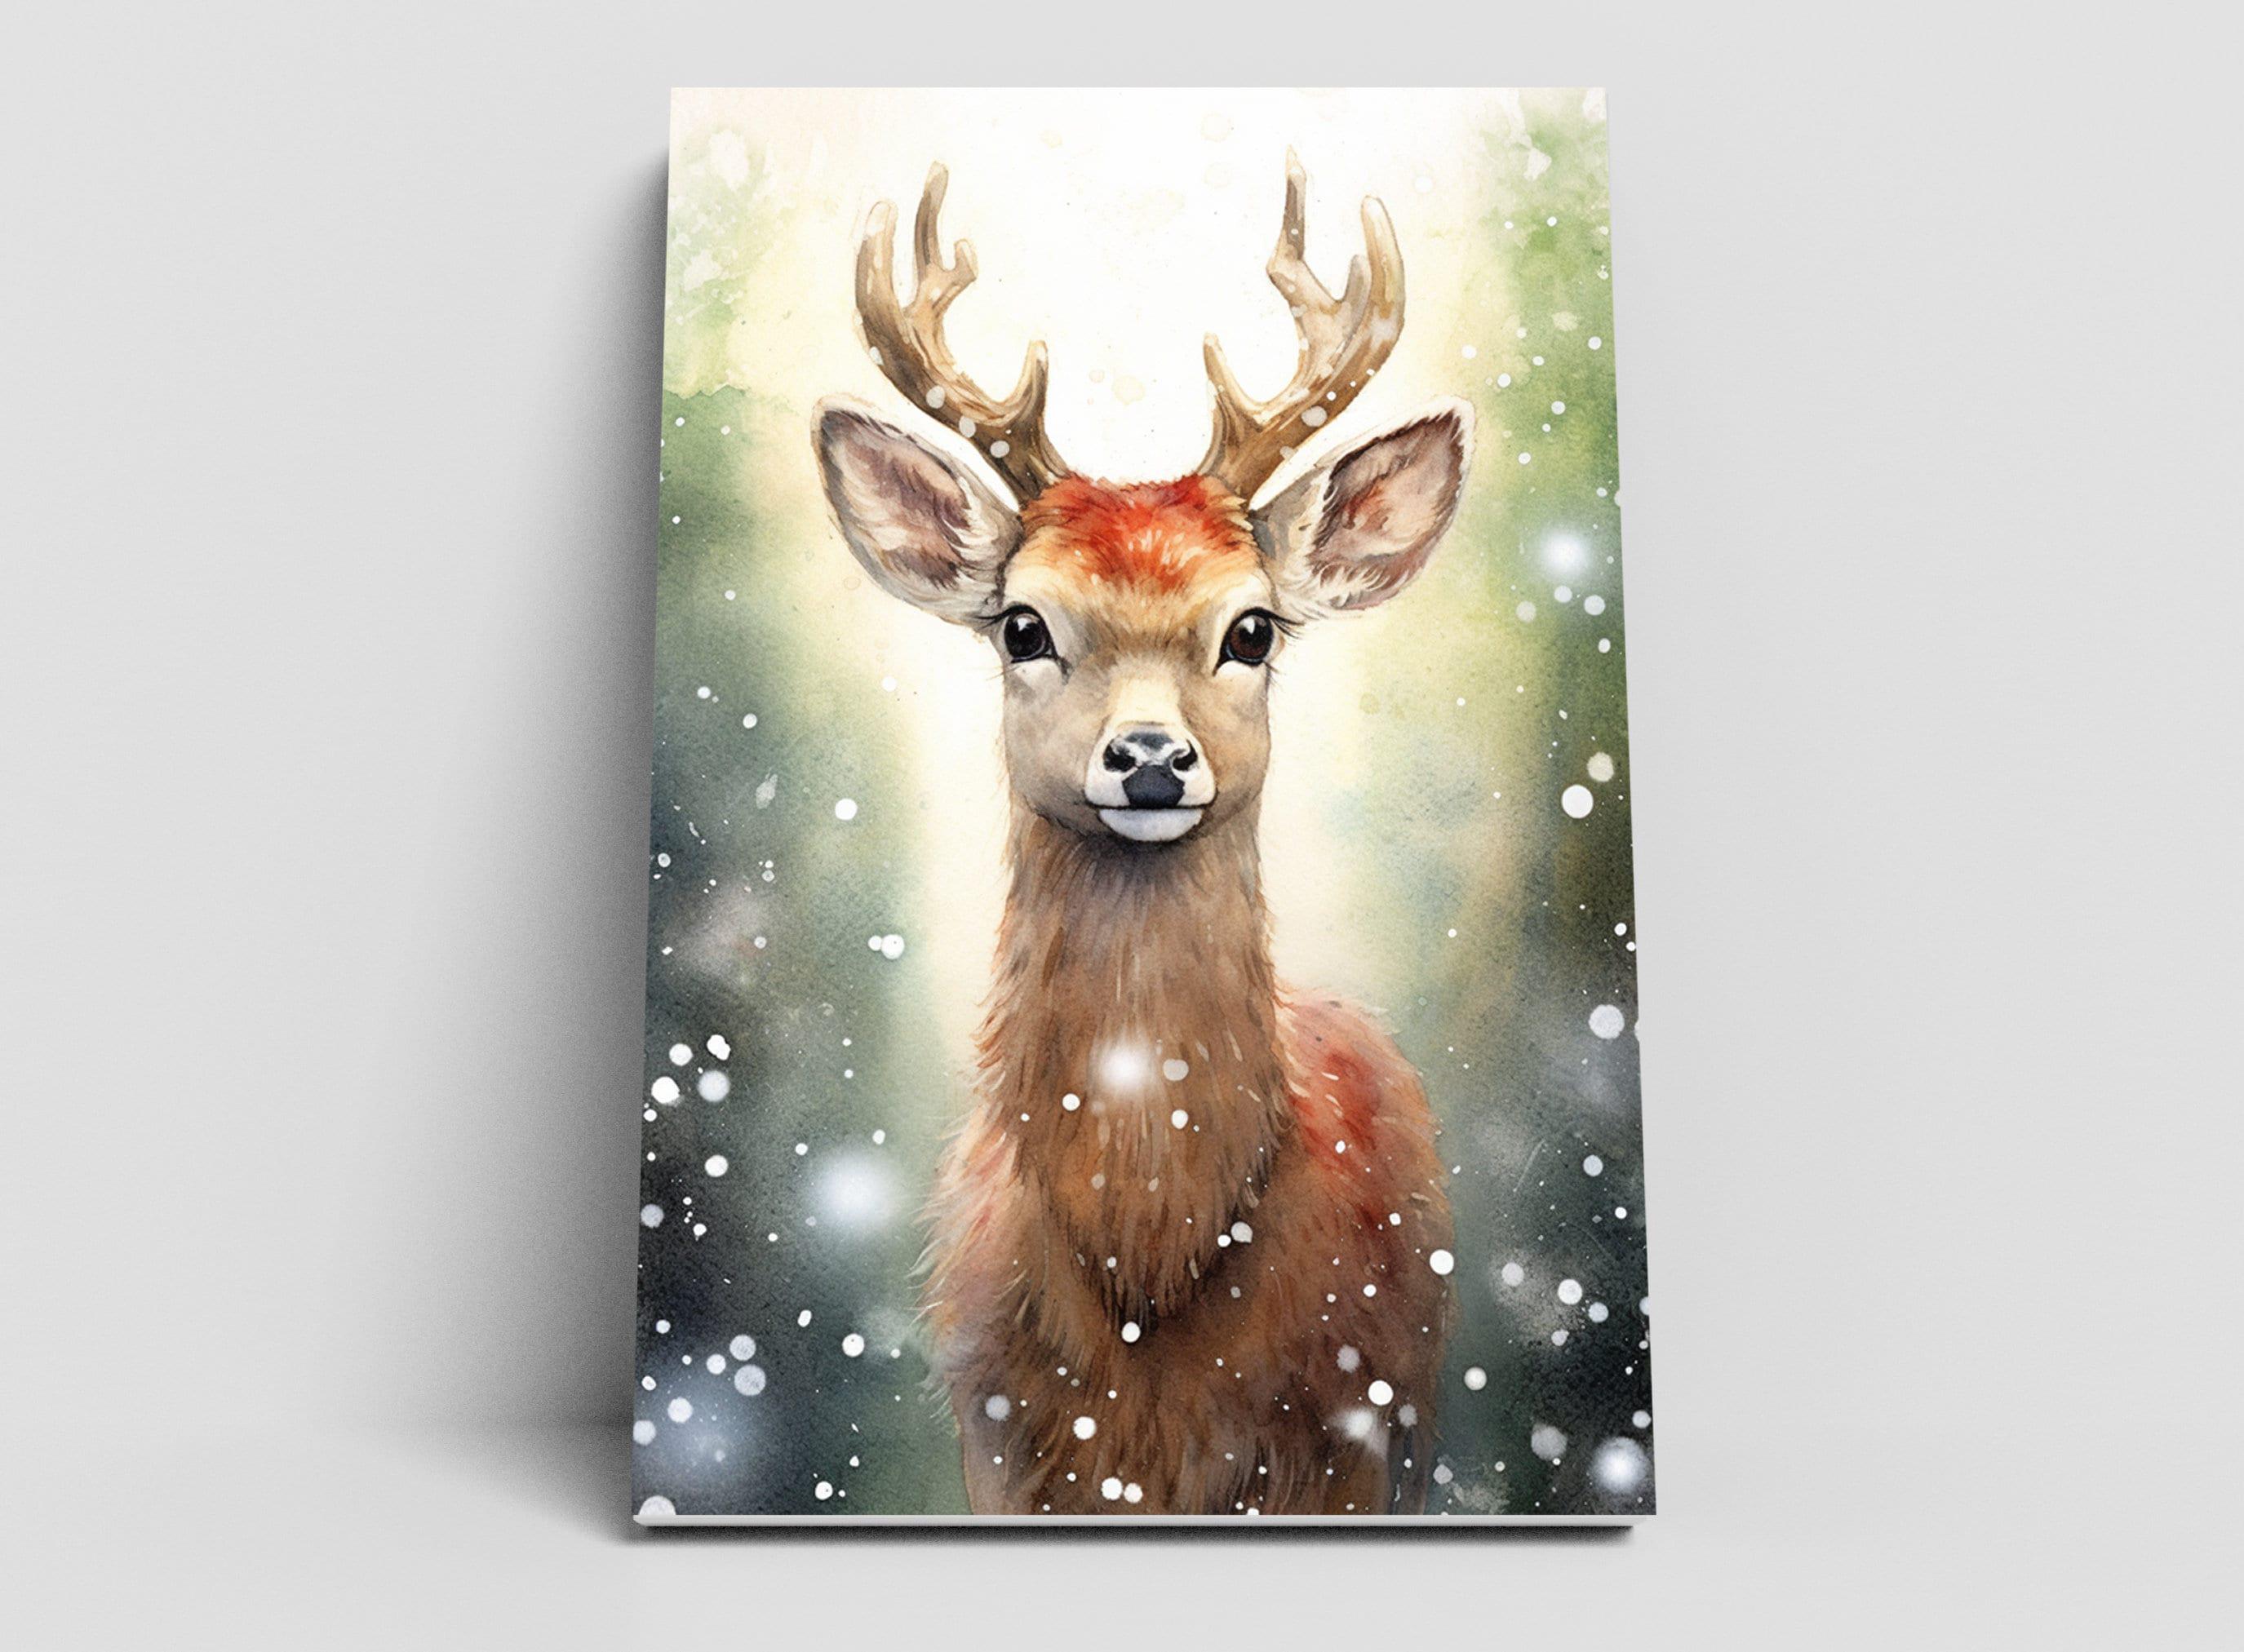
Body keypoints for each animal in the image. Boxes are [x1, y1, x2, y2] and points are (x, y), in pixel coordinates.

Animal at [814, 154, 1471, 1516]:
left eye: (1253, 628)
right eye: (1021, 625)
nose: (1153, 758)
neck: (1150, 1272)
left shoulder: (1342, 1441)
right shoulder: (1002, 1443)